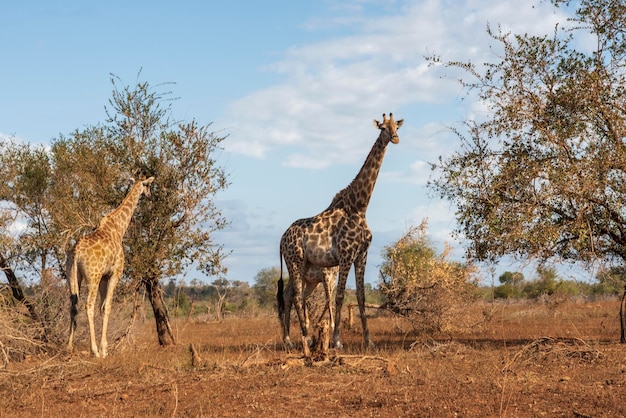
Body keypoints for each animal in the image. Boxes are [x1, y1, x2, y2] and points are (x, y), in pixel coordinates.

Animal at [66, 175, 155, 358]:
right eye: (149, 185)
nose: (150, 196)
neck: (119, 228)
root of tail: (76, 252)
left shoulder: (104, 277)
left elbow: (102, 307)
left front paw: (103, 347)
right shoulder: (115, 274)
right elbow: (107, 307)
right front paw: (104, 350)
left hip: (73, 276)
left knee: (73, 305)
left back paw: (69, 347)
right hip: (92, 277)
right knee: (88, 305)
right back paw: (94, 351)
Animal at [280, 112, 404, 352]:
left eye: (397, 126)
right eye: (382, 127)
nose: (395, 138)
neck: (359, 207)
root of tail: (281, 239)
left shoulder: (362, 255)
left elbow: (361, 297)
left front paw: (369, 341)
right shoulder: (346, 256)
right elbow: (338, 297)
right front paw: (337, 341)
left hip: (303, 265)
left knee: (290, 294)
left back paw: (291, 340)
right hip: (295, 261)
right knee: (297, 296)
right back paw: (305, 338)